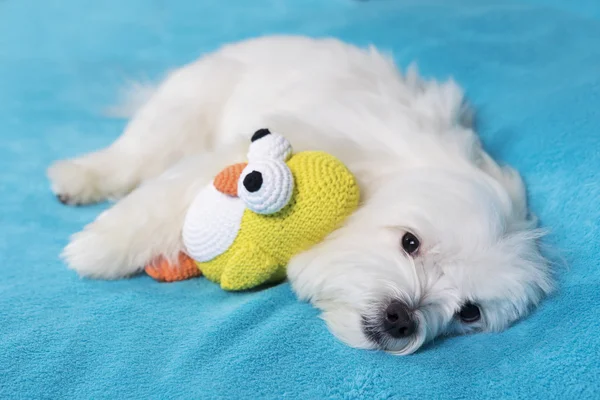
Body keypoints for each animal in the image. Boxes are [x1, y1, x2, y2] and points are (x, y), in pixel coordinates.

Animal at [48, 36, 552, 354]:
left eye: (469, 313)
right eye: (410, 242)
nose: (401, 317)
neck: (392, 172)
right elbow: (169, 199)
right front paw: (99, 249)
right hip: (185, 109)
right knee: (134, 155)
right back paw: (80, 176)